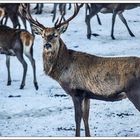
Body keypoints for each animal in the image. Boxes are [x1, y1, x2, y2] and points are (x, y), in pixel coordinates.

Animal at [20, 2, 140, 137]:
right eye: (43, 35)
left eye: (56, 35)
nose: (47, 45)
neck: (62, 70)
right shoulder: (87, 94)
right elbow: (86, 117)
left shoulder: (76, 92)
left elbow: (77, 118)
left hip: (134, 91)